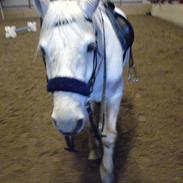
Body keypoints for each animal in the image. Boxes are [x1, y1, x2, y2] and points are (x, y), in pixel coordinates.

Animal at [33, 0, 130, 183]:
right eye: (42, 50)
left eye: (91, 46)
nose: (66, 121)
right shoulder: (85, 99)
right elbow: (91, 126)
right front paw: (93, 150)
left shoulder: (114, 95)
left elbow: (109, 136)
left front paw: (106, 172)